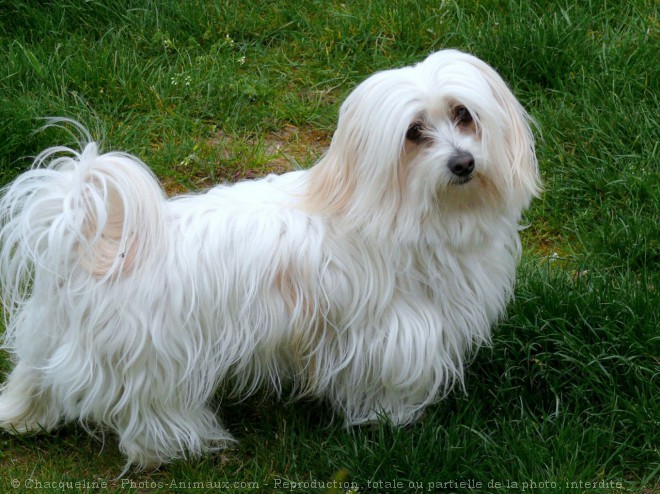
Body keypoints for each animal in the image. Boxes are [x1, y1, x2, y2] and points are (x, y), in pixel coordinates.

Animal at [0, 48, 536, 468]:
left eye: (464, 115)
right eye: (413, 132)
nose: (463, 162)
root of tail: (91, 244)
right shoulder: (395, 333)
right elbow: (390, 380)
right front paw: (392, 419)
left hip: (47, 336)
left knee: (33, 378)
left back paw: (22, 418)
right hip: (156, 361)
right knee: (146, 416)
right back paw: (182, 444)